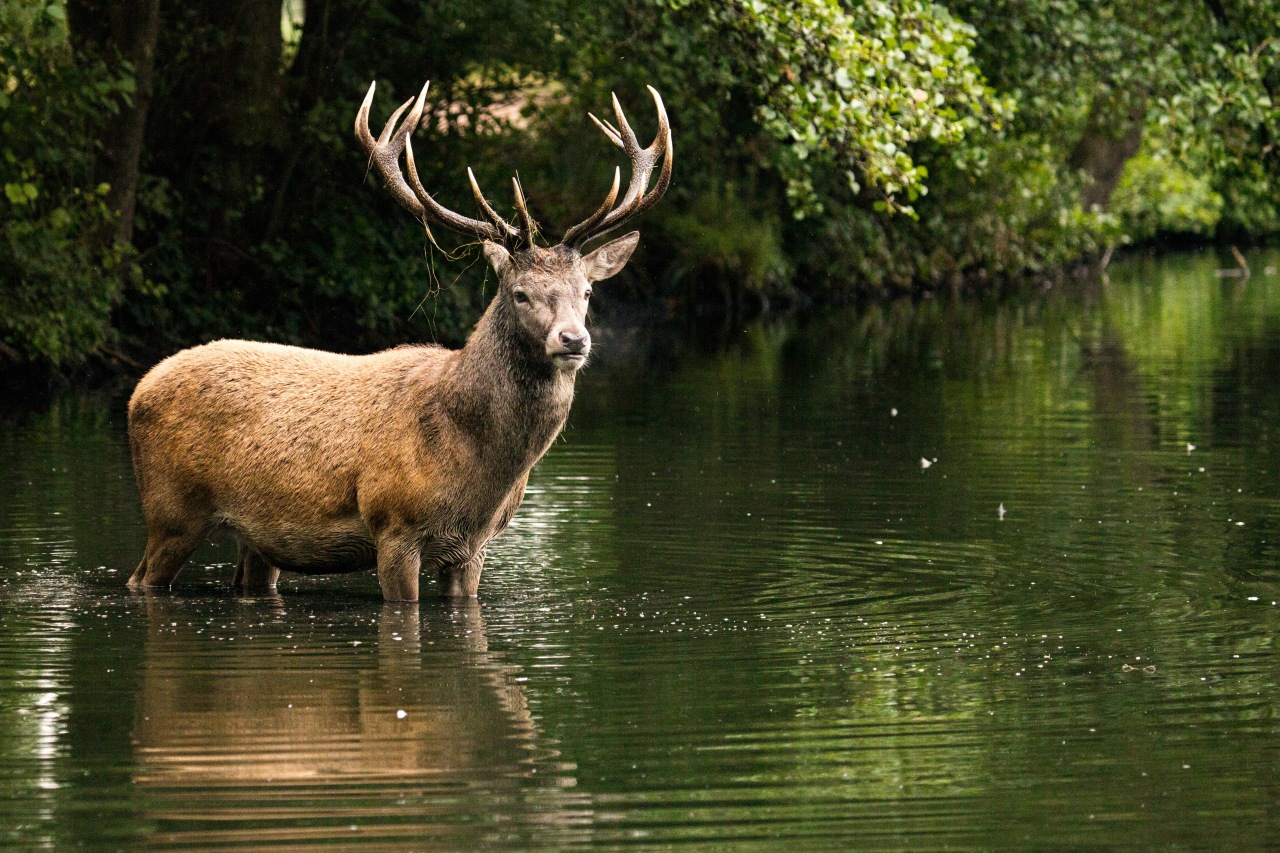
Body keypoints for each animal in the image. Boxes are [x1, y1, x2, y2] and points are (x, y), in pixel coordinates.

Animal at [126, 79, 672, 601]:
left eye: (587, 291)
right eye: (520, 293)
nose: (573, 340)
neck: (478, 472)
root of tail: (139, 389)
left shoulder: (474, 549)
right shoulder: (393, 526)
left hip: (258, 539)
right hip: (171, 509)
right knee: (141, 578)